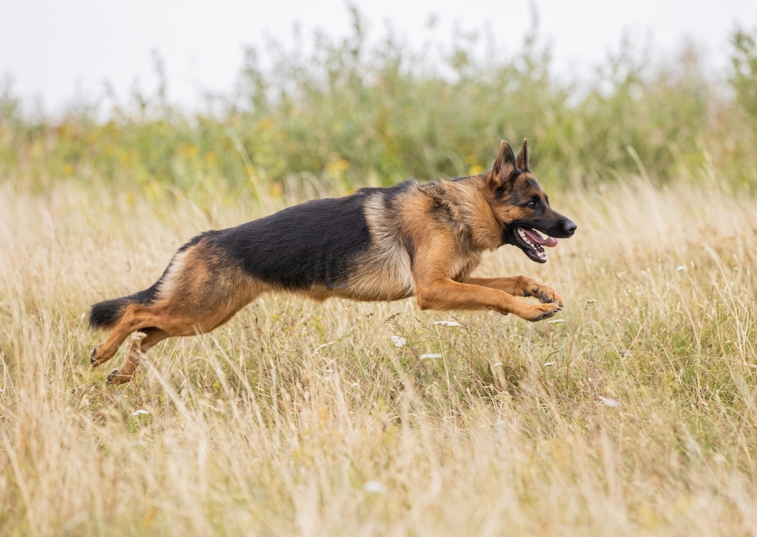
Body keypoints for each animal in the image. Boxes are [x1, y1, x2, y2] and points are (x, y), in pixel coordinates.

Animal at [90, 138, 572, 382]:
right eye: (532, 203)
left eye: (547, 199)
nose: (571, 227)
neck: (460, 209)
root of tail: (202, 238)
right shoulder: (434, 290)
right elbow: (499, 297)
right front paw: (531, 311)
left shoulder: (452, 282)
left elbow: (510, 280)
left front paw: (539, 292)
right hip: (199, 312)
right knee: (135, 314)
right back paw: (103, 352)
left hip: (201, 317)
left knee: (146, 334)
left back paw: (121, 373)